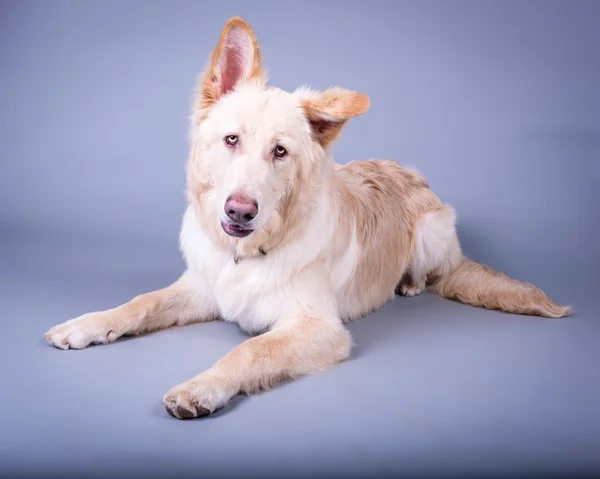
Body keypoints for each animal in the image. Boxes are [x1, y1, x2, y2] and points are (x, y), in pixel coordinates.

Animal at [43, 15, 572, 420]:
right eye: (232, 140)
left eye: (280, 152)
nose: (240, 210)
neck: (246, 254)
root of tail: (405, 167)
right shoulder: (202, 287)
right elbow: (141, 302)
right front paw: (88, 325)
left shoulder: (320, 327)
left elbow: (249, 348)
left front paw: (202, 387)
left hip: (432, 230)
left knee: (432, 271)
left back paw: (408, 284)